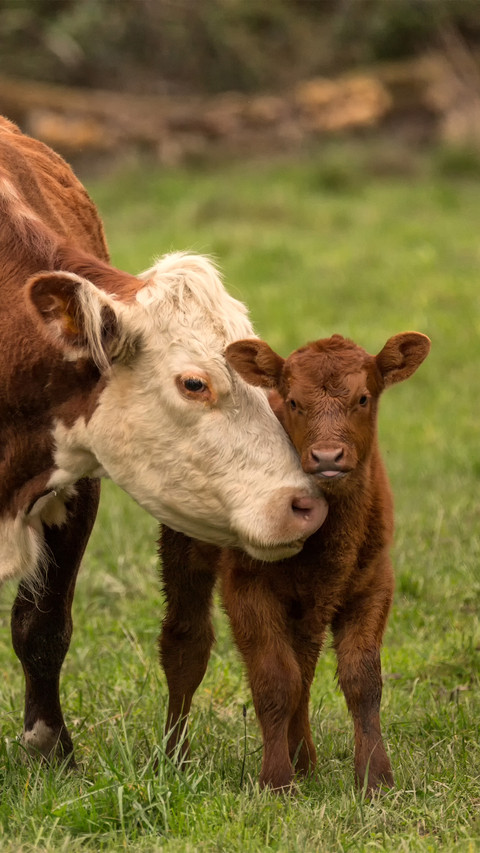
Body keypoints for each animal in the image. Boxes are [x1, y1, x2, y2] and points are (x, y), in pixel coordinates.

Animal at [159, 330, 430, 794]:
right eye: (294, 402)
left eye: (363, 398)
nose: (327, 457)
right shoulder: (247, 585)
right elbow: (274, 680)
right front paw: (276, 780)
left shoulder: (374, 582)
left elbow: (361, 680)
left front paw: (375, 778)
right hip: (184, 548)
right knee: (186, 644)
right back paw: (175, 756)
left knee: (303, 663)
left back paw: (305, 759)